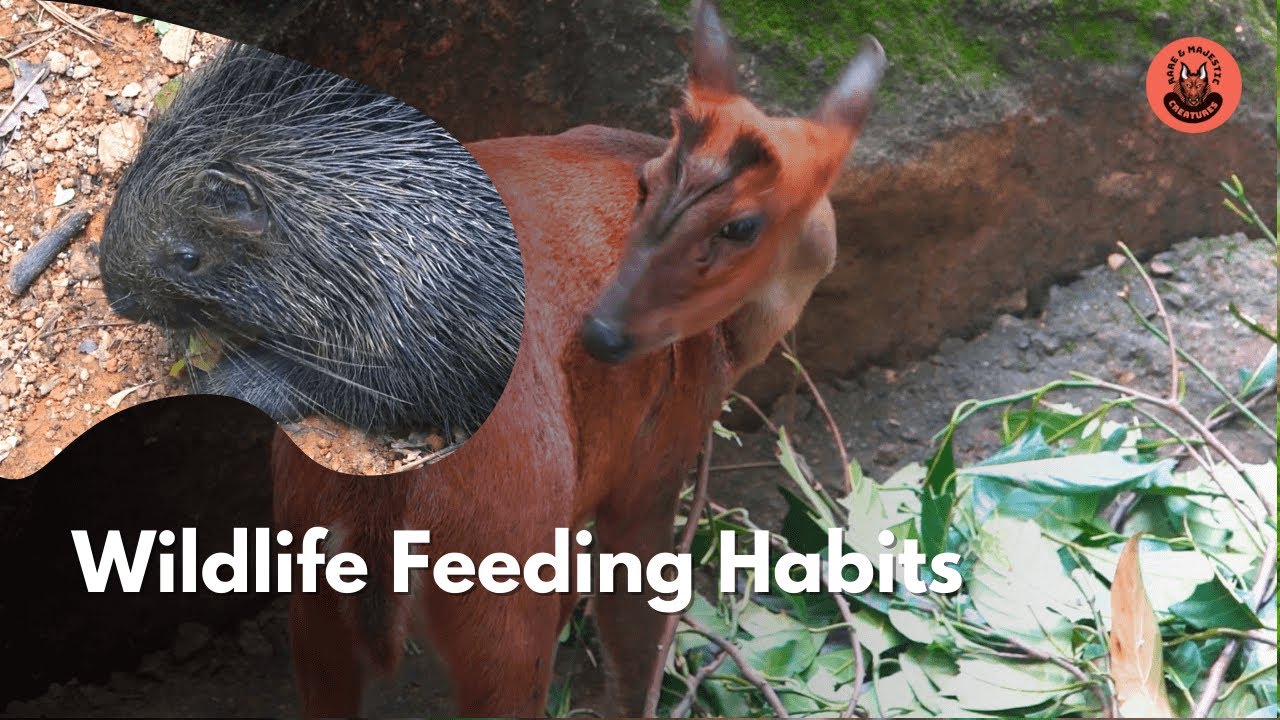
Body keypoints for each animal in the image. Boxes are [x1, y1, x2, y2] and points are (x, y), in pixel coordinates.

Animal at [271, 1, 886, 716]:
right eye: (647, 185)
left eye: (740, 225)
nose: (602, 334)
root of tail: (386, 480)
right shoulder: (654, 460)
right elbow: (636, 624)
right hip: (507, 562)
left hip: (305, 562)